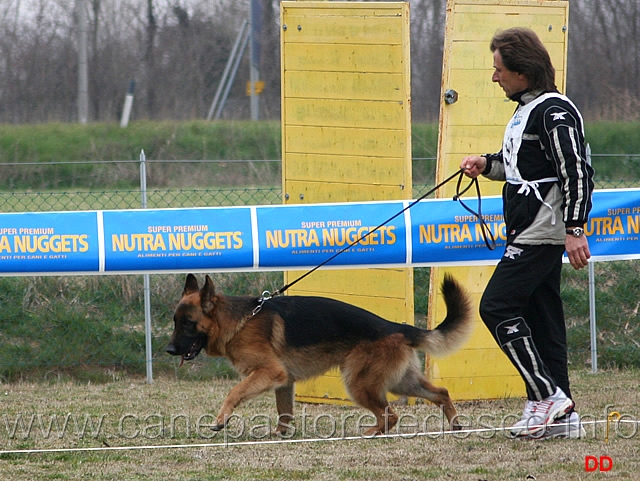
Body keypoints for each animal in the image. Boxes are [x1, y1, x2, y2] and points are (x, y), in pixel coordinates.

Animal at [168, 274, 472, 436]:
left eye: (188, 323)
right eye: (175, 321)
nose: (170, 350)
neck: (239, 321)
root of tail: (397, 327)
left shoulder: (269, 372)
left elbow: (234, 392)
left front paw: (221, 420)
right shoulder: (283, 381)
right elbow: (284, 411)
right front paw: (280, 435)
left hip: (359, 384)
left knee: (391, 415)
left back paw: (371, 433)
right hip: (401, 382)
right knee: (441, 392)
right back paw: (455, 424)